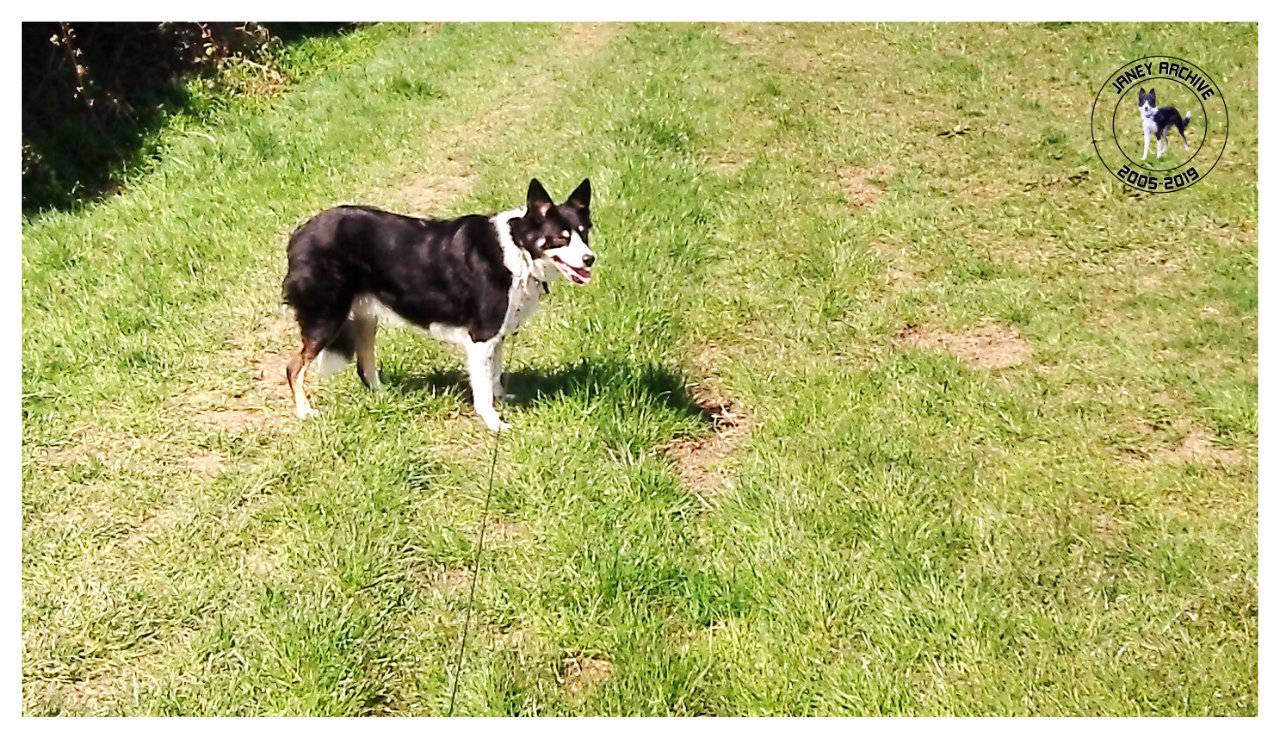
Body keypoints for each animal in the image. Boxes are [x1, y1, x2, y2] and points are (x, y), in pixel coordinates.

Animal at [282, 178, 591, 430]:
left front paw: (502, 400)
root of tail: (299, 234)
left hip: (365, 317)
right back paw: (305, 411)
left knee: (365, 366)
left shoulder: (497, 335)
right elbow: (482, 388)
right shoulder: (481, 337)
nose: (590, 259)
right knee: (294, 367)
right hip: (326, 318)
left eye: (585, 232)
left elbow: (495, 376)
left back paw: (384, 395)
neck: (518, 249)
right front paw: (494, 422)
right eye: (561, 238)